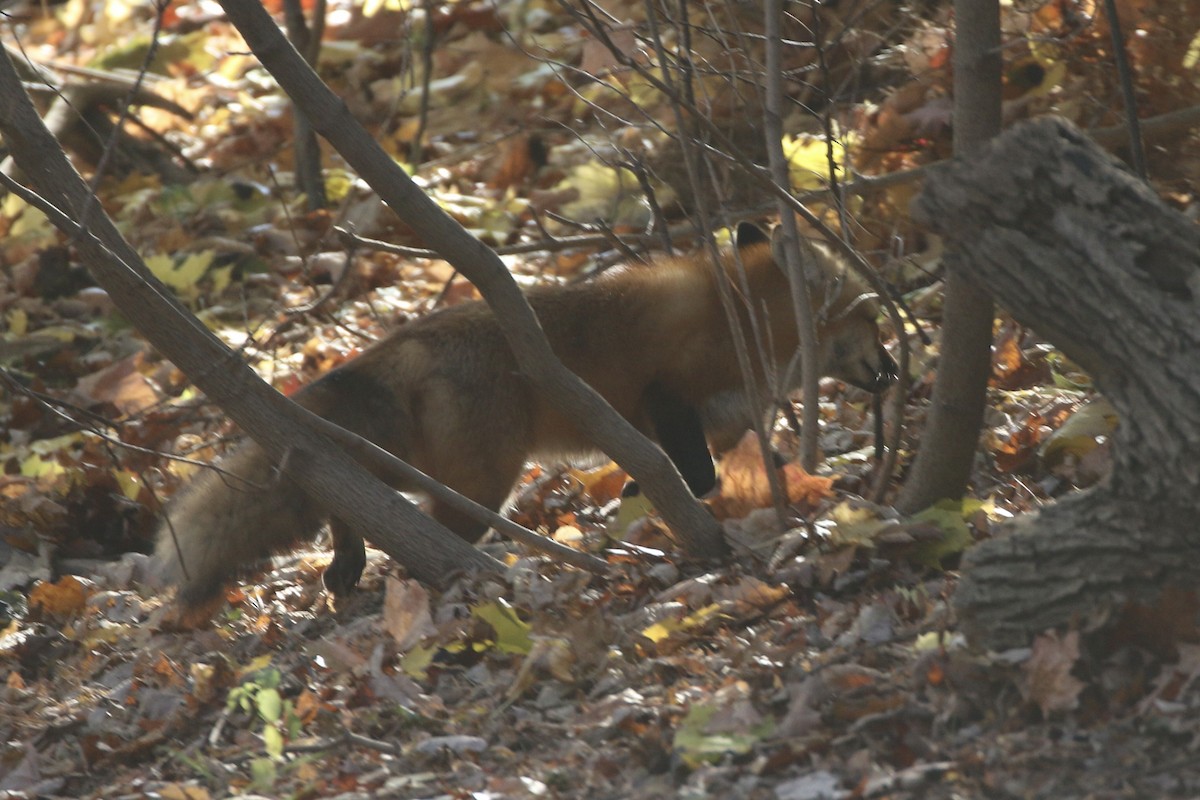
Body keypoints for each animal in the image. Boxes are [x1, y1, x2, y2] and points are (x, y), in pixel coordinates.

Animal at [154, 223, 896, 611]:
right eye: (872, 321)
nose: (893, 371)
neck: (744, 318)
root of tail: (403, 340)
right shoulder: (665, 392)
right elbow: (696, 474)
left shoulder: (696, 420)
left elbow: (683, 472)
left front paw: (634, 503)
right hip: (482, 487)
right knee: (419, 536)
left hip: (410, 469)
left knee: (338, 489)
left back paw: (346, 569)